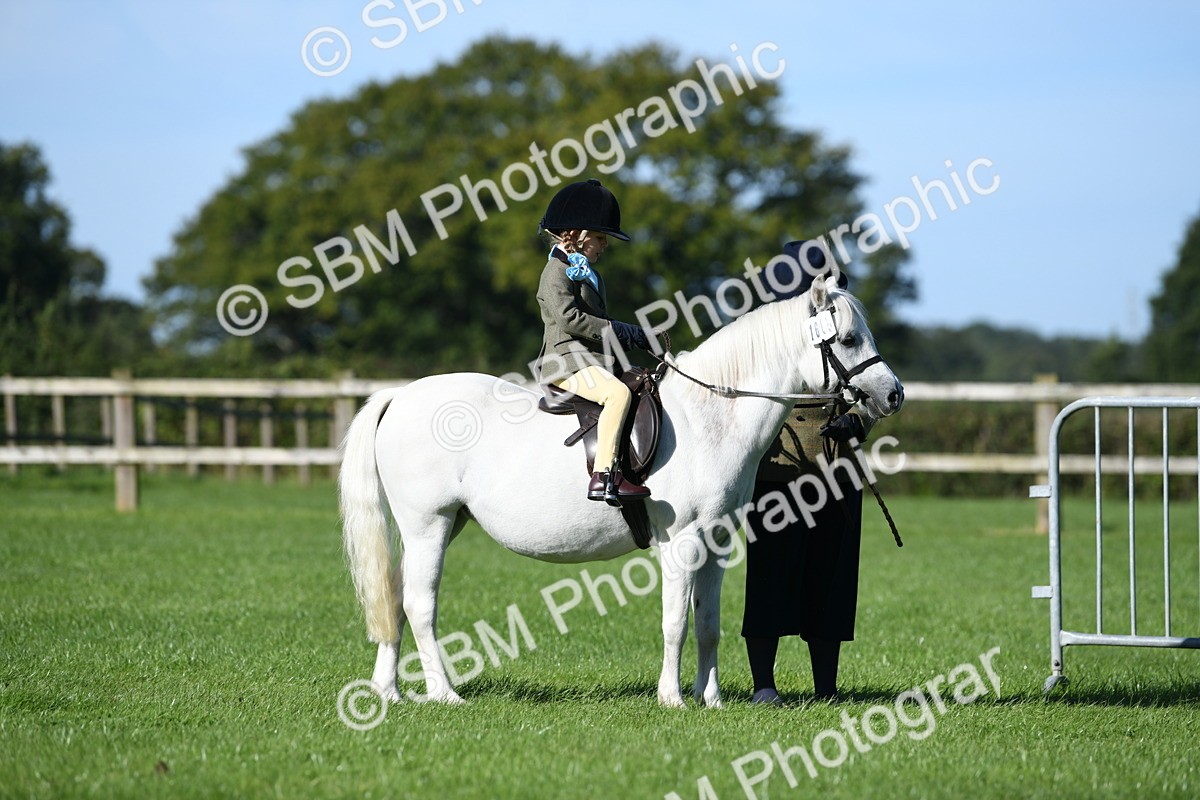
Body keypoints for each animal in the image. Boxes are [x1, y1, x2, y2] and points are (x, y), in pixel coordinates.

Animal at [338, 274, 904, 707]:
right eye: (847, 339)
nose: (893, 394)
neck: (709, 417)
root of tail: (400, 395)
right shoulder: (683, 543)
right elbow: (675, 622)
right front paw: (672, 700)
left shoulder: (718, 545)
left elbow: (709, 623)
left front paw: (712, 700)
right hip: (429, 524)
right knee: (419, 603)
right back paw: (444, 694)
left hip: (442, 525)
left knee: (394, 598)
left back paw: (389, 693)